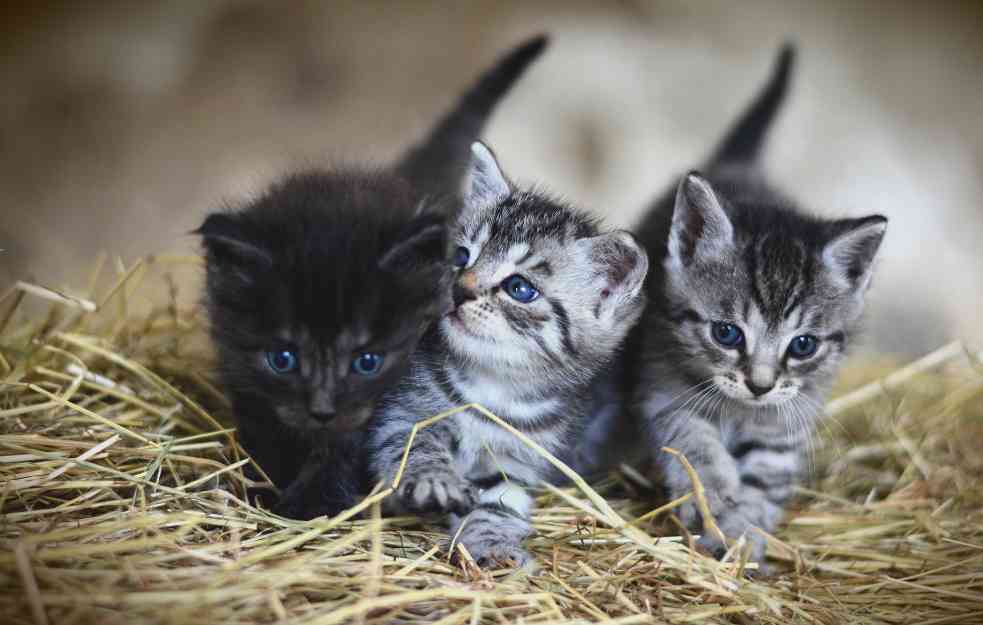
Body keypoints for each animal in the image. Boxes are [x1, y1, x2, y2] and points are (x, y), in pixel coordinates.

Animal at [196, 36, 548, 520]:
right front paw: (266, 486)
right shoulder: (244, 378)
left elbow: (346, 447)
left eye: (368, 362)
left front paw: (314, 504)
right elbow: (265, 431)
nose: (322, 409)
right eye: (282, 358)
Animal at [366, 140, 648, 564]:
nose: (460, 289)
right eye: (461, 257)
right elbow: (413, 443)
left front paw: (493, 542)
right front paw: (433, 477)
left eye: (519, 288)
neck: (493, 385)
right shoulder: (401, 412)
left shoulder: (518, 460)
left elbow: (500, 501)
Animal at [632, 44, 892, 560]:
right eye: (726, 333)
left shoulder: (788, 419)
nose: (760, 385)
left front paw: (744, 533)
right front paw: (712, 493)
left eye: (803, 345)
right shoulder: (660, 382)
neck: (740, 411)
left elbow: (767, 476)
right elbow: (690, 437)